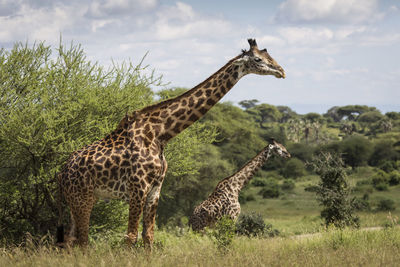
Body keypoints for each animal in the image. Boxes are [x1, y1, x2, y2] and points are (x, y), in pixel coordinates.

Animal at [56, 38, 284, 250]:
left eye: (269, 55)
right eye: (258, 59)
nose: (281, 71)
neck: (161, 134)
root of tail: (62, 172)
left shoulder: (155, 188)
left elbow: (148, 236)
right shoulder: (137, 188)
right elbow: (131, 236)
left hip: (82, 198)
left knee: (70, 238)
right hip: (82, 198)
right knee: (82, 240)